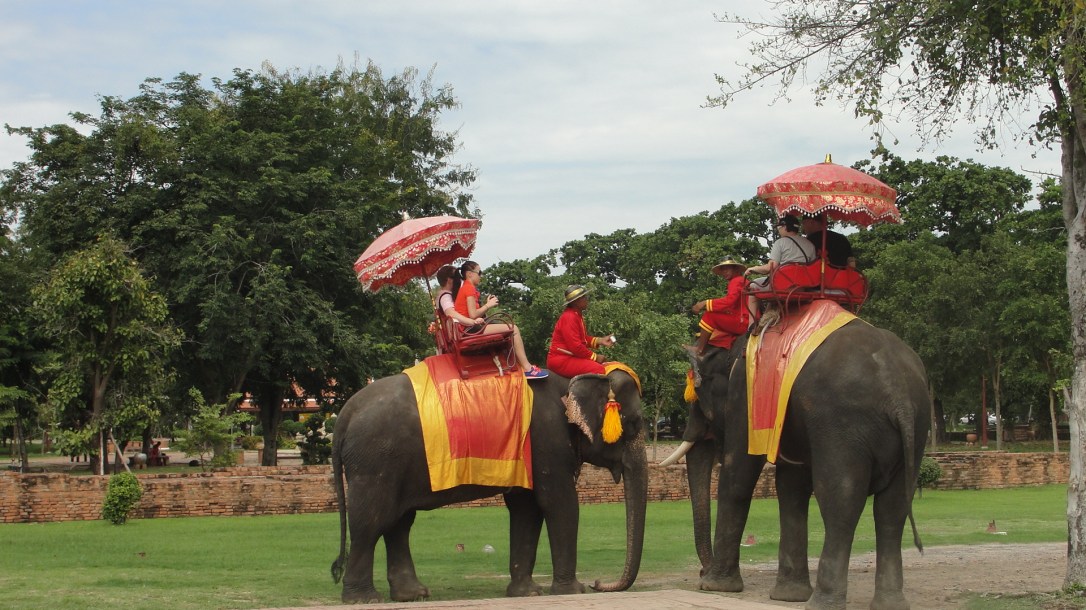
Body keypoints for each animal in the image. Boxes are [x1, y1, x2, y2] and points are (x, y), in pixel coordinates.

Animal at [330, 367, 647, 604]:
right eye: (633, 423)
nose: (598, 583)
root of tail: (345, 413)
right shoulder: (548, 440)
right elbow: (559, 503)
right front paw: (571, 591)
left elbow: (526, 509)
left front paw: (526, 594)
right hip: (375, 460)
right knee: (371, 522)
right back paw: (364, 599)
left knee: (398, 522)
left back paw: (413, 595)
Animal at [664, 320, 931, 610]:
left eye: (698, 396)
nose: (702, 571)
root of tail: (899, 395)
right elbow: (791, 486)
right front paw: (788, 595)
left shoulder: (744, 393)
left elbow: (738, 476)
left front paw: (715, 587)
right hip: (917, 429)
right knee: (893, 508)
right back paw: (889, 604)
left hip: (842, 427)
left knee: (840, 501)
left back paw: (822, 603)